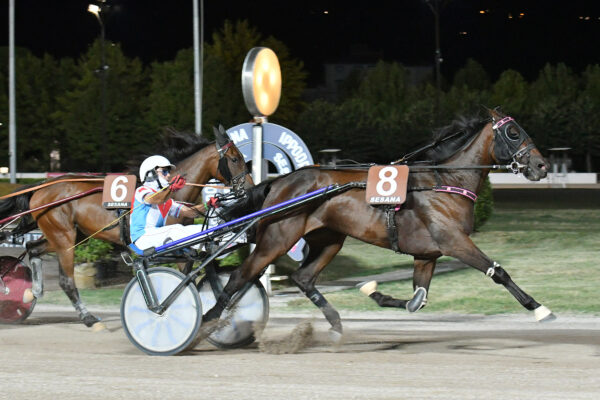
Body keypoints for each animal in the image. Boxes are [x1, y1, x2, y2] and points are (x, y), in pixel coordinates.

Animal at [0, 126, 252, 330]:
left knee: (32, 248)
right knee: (67, 281)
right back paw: (88, 318)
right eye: (234, 158)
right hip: (64, 237)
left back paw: (31, 292)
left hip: (71, 234)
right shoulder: (171, 247)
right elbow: (183, 276)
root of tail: (43, 186)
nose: (248, 188)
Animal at [205, 108, 552, 340]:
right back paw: (209, 321)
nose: (541, 165)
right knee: (239, 275)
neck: (446, 182)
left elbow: (417, 300)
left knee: (303, 278)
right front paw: (539, 309)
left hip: (329, 239)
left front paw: (374, 291)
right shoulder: (454, 241)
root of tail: (278, 182)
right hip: (277, 238)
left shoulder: (427, 254)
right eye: (513, 132)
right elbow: (498, 272)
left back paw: (336, 324)